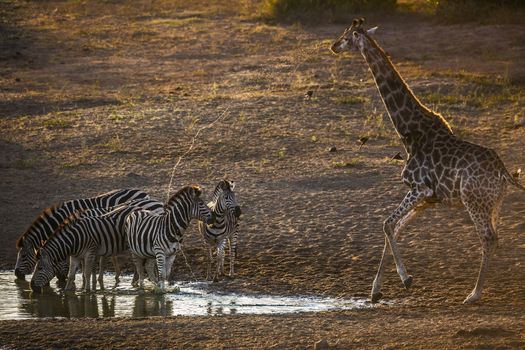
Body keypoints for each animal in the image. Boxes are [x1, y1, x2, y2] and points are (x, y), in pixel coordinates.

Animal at [30, 200, 162, 292]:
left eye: (40, 268)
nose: (31, 287)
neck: (73, 240)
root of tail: (141, 208)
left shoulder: (90, 252)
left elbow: (87, 272)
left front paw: (87, 290)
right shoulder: (75, 256)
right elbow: (72, 275)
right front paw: (67, 291)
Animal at [330, 18, 520, 304]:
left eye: (346, 36)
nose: (333, 46)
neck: (409, 132)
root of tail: (503, 173)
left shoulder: (420, 189)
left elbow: (387, 224)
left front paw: (406, 279)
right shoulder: (428, 199)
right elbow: (394, 229)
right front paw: (376, 290)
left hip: (474, 201)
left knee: (488, 238)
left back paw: (473, 294)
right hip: (494, 203)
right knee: (496, 239)